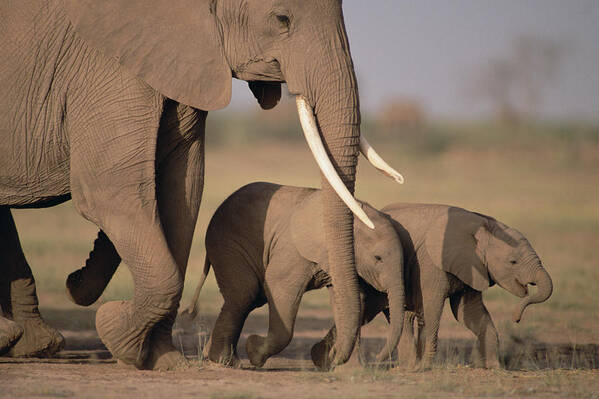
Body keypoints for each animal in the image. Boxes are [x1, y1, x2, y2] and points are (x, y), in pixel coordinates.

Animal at [180, 183, 406, 370]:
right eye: (378, 258)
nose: (378, 359)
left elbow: (349, 299)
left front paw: (327, 361)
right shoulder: (292, 251)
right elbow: (278, 286)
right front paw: (254, 351)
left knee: (251, 299)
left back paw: (213, 355)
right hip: (228, 244)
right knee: (245, 294)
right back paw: (227, 361)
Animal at [316, 205, 556, 370]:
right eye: (513, 262)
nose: (516, 318)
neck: (485, 225)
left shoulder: (472, 266)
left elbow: (469, 312)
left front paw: (492, 367)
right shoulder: (431, 263)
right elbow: (433, 306)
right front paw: (425, 368)